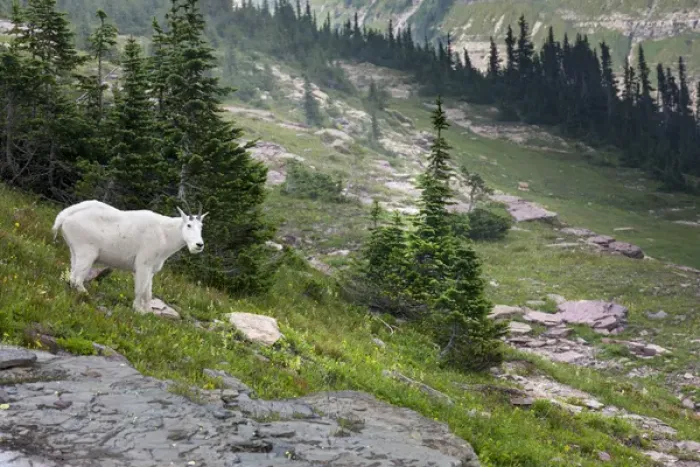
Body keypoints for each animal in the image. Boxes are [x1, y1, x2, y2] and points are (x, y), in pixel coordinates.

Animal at [52, 200, 208, 313]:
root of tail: (64, 217)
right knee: (77, 279)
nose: (199, 245)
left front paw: (148, 312)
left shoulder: (151, 269)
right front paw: (138, 310)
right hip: (87, 252)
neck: (165, 234)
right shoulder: (143, 264)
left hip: (75, 251)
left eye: (201, 227)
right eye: (188, 225)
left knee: (71, 276)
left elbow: (148, 292)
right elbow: (140, 289)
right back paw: (87, 297)